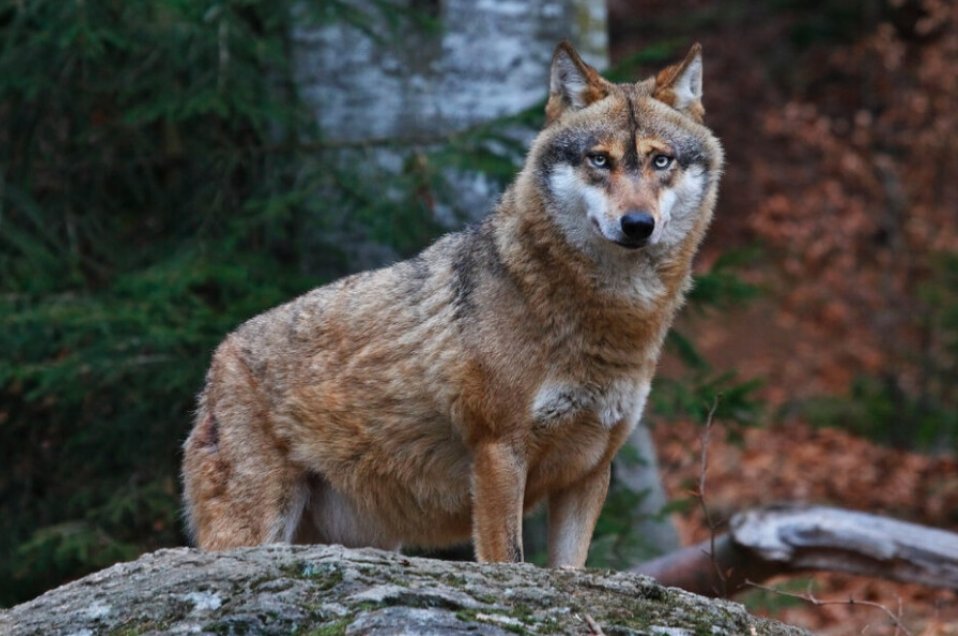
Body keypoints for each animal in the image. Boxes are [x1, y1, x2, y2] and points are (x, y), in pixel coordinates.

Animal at [182, 41, 723, 567]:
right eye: (599, 160)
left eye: (660, 161)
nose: (637, 224)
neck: (610, 318)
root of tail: (219, 356)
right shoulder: (498, 451)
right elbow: (507, 560)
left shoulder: (591, 470)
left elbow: (569, 570)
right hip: (256, 530)